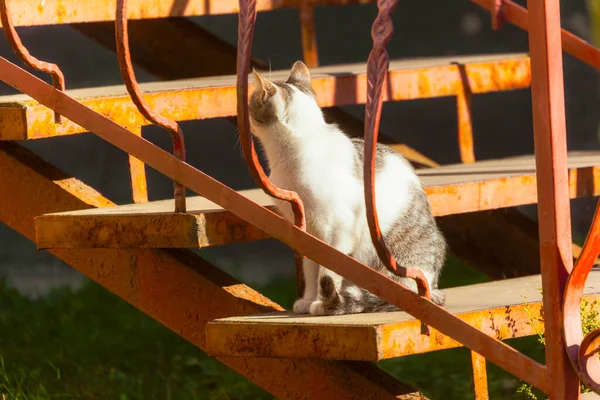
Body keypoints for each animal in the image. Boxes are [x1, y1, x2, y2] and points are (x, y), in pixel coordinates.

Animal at [247, 60, 446, 316]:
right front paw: (307, 300)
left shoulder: (338, 231)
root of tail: (432, 286)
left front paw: (321, 303)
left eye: (251, 103)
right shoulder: (307, 232)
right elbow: (311, 271)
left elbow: (328, 271)